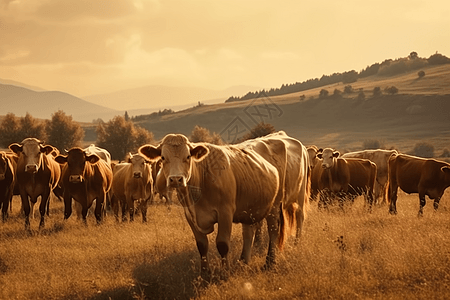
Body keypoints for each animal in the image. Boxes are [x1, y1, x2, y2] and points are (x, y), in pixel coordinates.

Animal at [139, 134, 284, 276]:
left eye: (188, 156)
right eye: (163, 158)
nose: (176, 179)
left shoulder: (225, 212)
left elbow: (223, 244)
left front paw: (225, 273)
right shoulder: (190, 215)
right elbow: (202, 245)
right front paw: (205, 274)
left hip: (275, 206)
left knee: (273, 231)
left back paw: (270, 263)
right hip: (249, 209)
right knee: (248, 233)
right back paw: (243, 262)